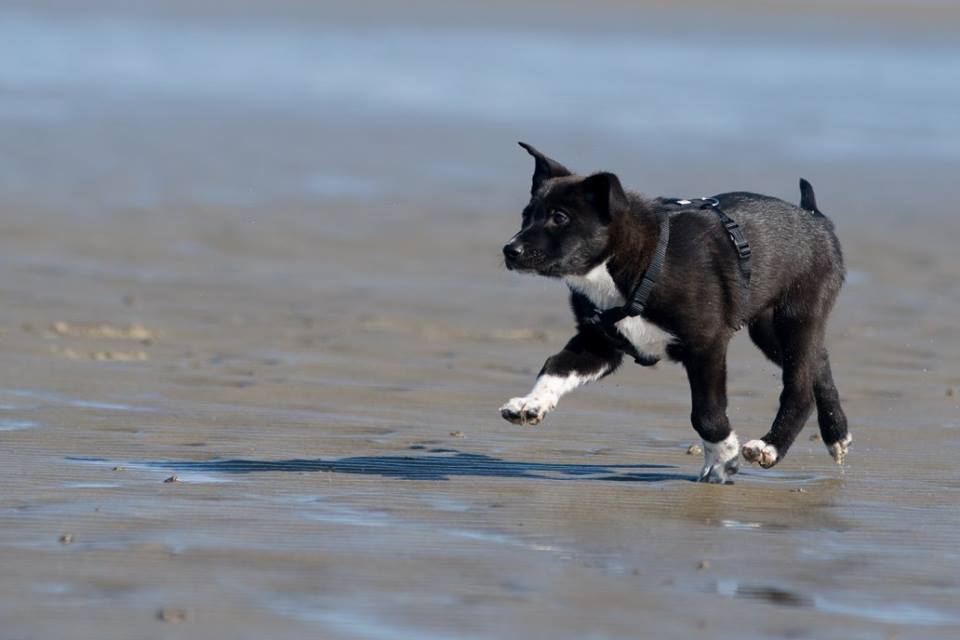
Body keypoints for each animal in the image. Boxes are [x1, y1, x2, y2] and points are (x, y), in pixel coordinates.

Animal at [498, 142, 852, 482]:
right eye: (526, 215)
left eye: (559, 218)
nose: (509, 250)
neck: (632, 263)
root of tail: (816, 219)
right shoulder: (600, 343)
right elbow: (555, 366)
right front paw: (531, 403)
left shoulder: (706, 346)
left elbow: (706, 414)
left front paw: (723, 459)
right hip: (768, 329)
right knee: (818, 364)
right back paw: (836, 434)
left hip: (797, 316)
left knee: (800, 386)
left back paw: (771, 447)